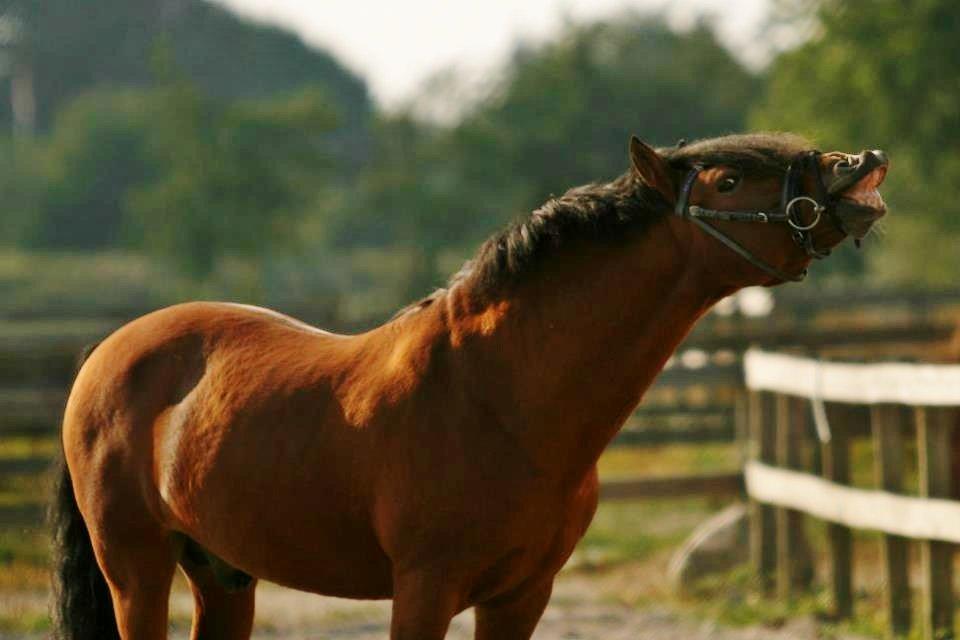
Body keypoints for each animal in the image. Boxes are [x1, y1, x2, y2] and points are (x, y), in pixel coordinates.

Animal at [52, 132, 888, 636]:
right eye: (728, 177)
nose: (858, 166)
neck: (497, 397)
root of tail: (104, 354)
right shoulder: (425, 589)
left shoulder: (522, 595)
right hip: (136, 568)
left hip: (222, 573)